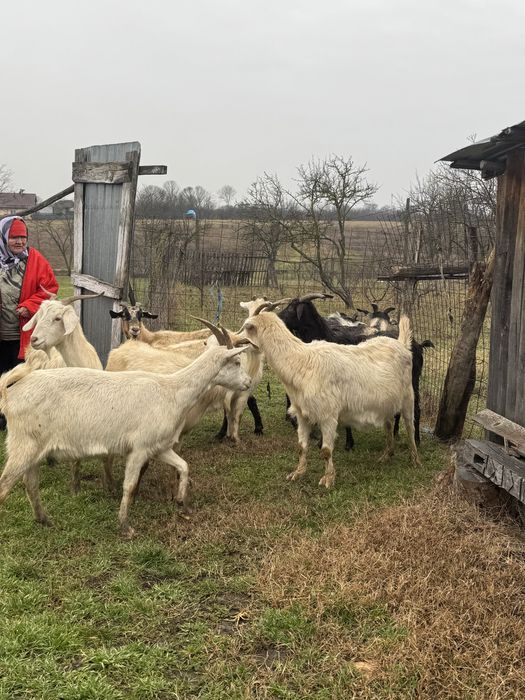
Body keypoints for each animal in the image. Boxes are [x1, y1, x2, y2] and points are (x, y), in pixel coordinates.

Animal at [0, 322, 252, 538]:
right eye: (236, 362)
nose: (248, 382)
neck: (172, 390)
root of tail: (11, 392)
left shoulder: (159, 447)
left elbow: (184, 466)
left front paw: (181, 500)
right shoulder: (139, 449)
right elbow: (129, 487)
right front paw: (125, 526)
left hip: (34, 449)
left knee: (30, 484)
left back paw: (44, 520)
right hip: (23, 445)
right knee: (5, 485)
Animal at [243, 302, 420, 488]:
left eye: (248, 326)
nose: (237, 340)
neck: (302, 360)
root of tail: (402, 344)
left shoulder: (328, 415)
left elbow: (326, 451)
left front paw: (328, 479)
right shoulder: (303, 414)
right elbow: (301, 447)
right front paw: (298, 473)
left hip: (408, 396)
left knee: (410, 426)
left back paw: (415, 460)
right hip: (386, 403)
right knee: (389, 424)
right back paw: (387, 455)